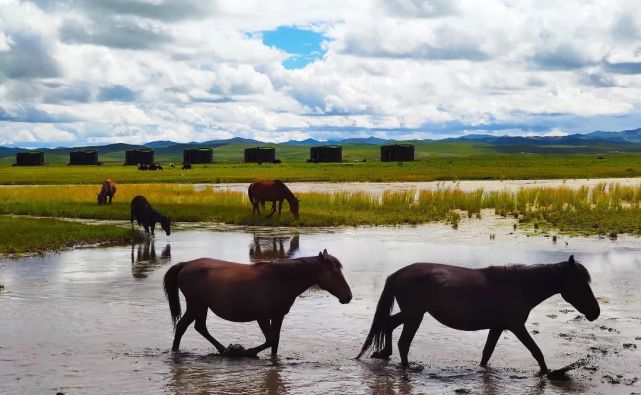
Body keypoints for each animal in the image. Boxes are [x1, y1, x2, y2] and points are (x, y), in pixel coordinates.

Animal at [160, 251, 350, 356]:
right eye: (334, 273)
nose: (348, 296)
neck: (281, 278)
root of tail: (186, 264)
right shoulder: (262, 316)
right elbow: (271, 339)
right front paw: (248, 352)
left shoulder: (278, 315)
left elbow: (275, 341)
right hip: (196, 304)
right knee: (186, 326)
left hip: (200, 306)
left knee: (195, 327)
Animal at [358, 256, 596, 374]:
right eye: (581, 285)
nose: (596, 312)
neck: (520, 286)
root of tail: (400, 272)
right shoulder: (516, 326)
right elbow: (536, 351)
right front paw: (548, 373)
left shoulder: (498, 327)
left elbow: (486, 353)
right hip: (415, 315)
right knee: (404, 342)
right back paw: (408, 367)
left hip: (412, 313)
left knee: (388, 324)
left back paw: (384, 353)